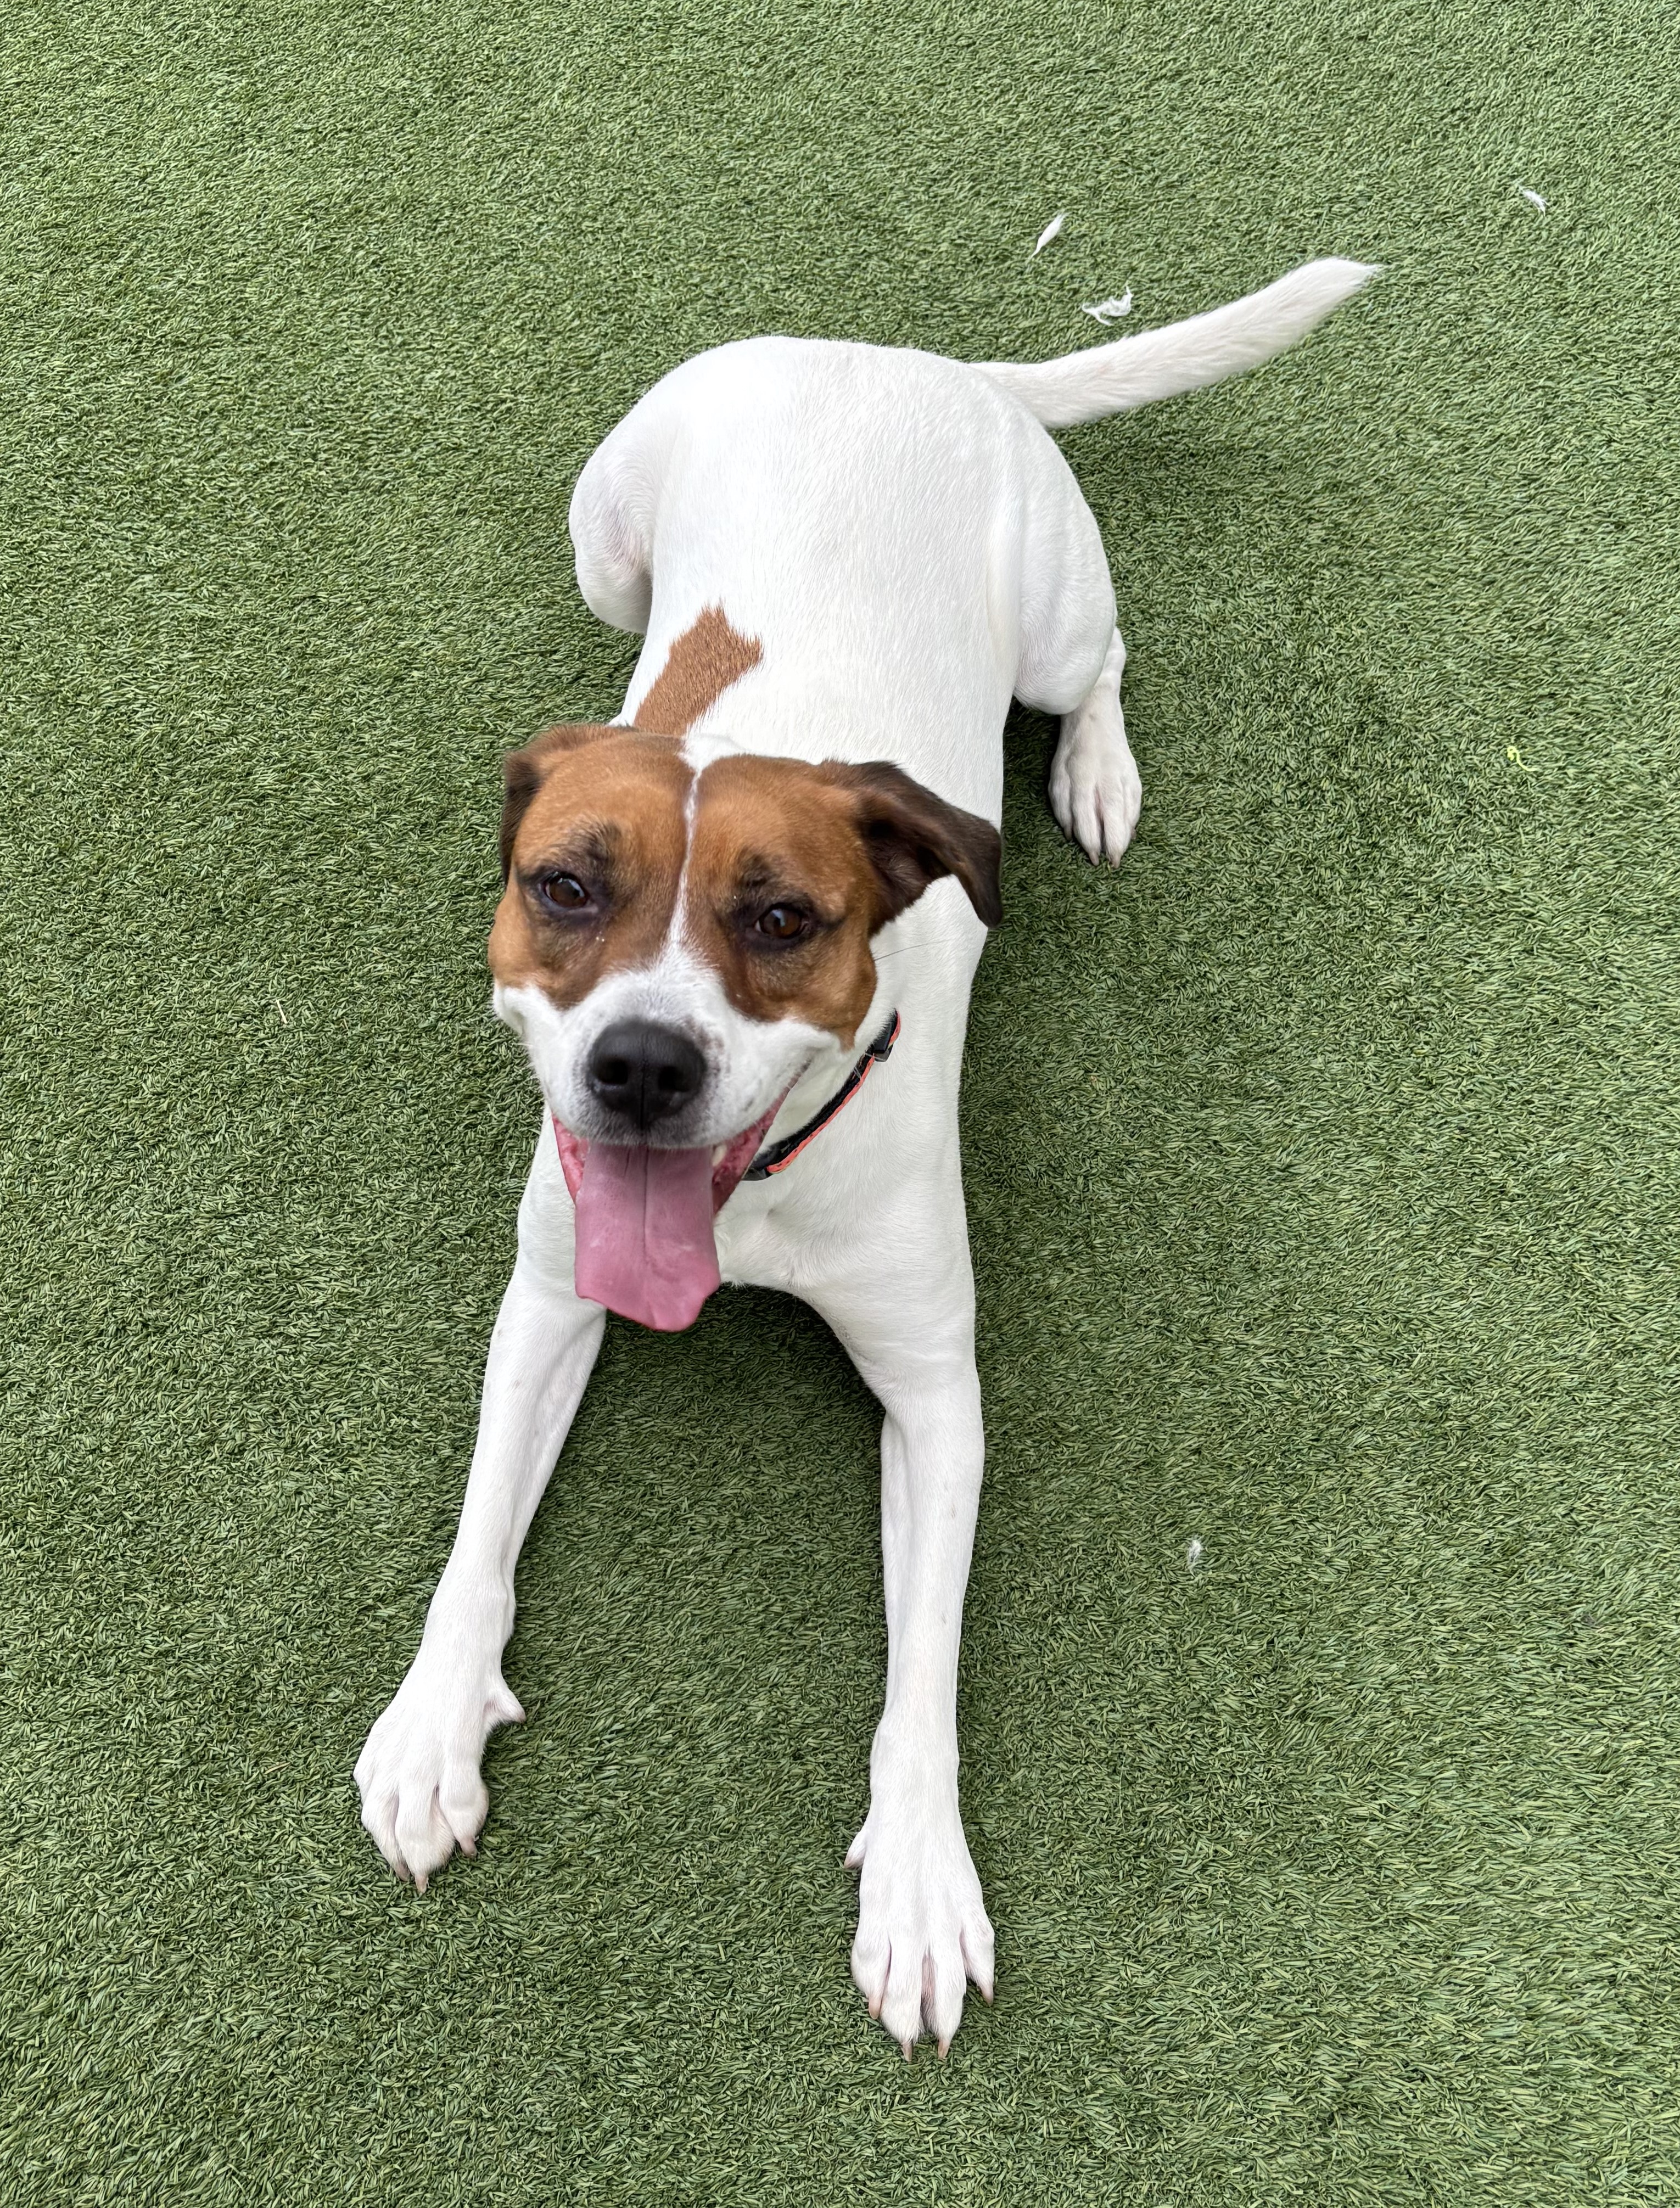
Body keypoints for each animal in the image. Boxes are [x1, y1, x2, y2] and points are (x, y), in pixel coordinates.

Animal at [354, 256, 1377, 2055]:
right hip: (605, 532)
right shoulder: (545, 1303)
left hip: (1053, 610)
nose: (637, 1064)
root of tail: (907, 358)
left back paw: (1096, 773)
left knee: (1105, 661)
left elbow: (923, 1676)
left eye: (784, 919)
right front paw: (430, 1726)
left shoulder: (938, 1399)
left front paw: (916, 1878)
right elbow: (477, 1538)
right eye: (564, 887)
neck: (756, 1194)